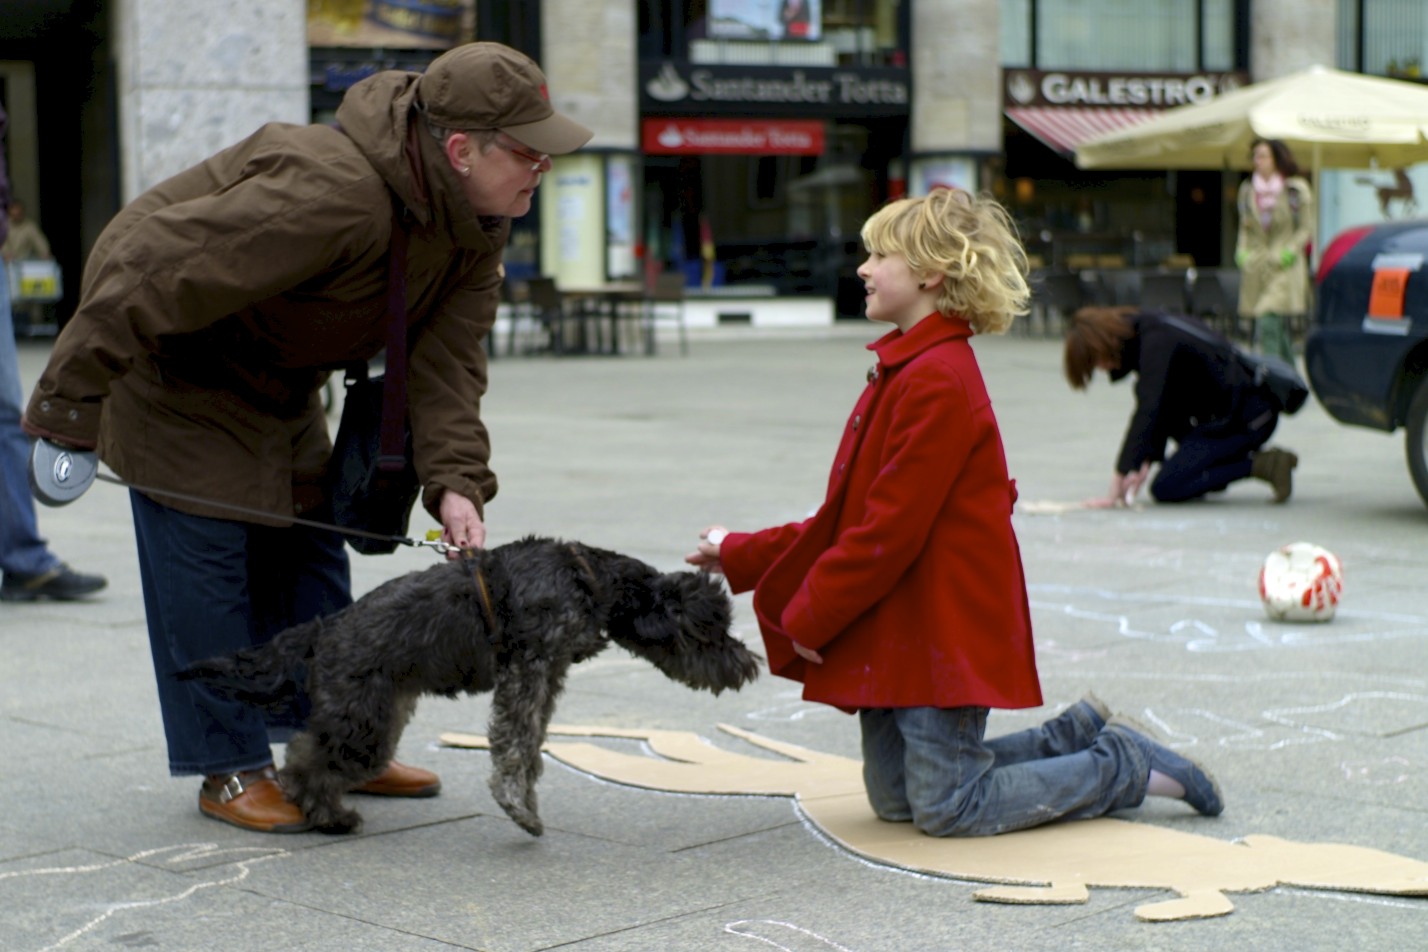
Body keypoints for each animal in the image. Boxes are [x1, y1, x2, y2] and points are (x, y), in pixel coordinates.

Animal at [181, 539, 759, 839]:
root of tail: (324, 629)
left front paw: (524, 795)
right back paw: (327, 815)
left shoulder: (545, 675)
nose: (749, 665)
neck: (591, 581)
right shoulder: (528, 671)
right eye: (712, 629)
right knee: (307, 761)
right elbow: (515, 743)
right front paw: (517, 805)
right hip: (361, 718)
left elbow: (530, 743)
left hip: (381, 711)